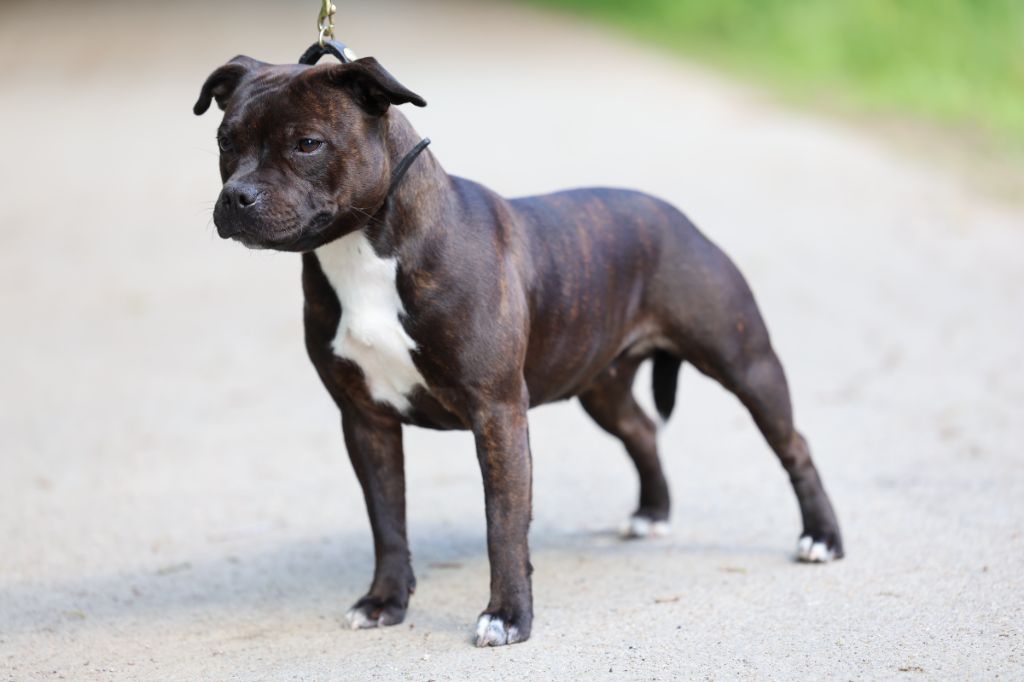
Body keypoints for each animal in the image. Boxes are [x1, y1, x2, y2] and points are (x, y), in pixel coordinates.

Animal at [194, 55, 843, 647]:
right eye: (225, 141)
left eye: (308, 144)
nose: (237, 196)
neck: (366, 249)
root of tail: (676, 216)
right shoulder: (365, 420)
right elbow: (387, 520)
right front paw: (384, 602)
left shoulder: (497, 413)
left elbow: (502, 524)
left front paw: (506, 618)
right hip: (602, 386)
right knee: (642, 430)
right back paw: (652, 514)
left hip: (745, 363)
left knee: (794, 445)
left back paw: (822, 538)